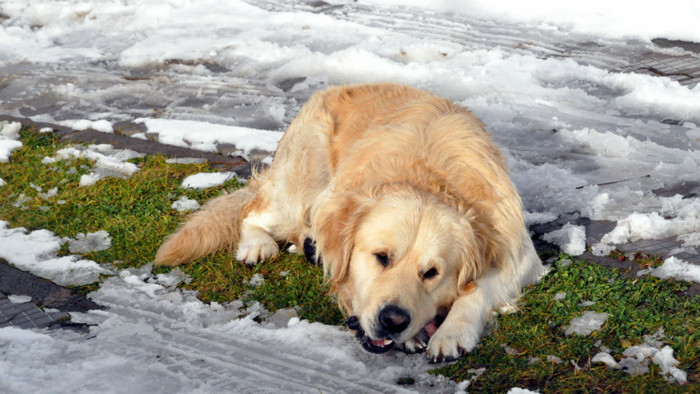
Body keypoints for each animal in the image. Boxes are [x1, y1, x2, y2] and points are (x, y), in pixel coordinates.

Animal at [156, 84, 544, 362]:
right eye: (381, 257)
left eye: (431, 273)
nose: (393, 320)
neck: (428, 175)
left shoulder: (519, 252)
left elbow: (478, 287)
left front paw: (450, 332)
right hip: (303, 183)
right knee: (252, 210)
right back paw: (258, 245)